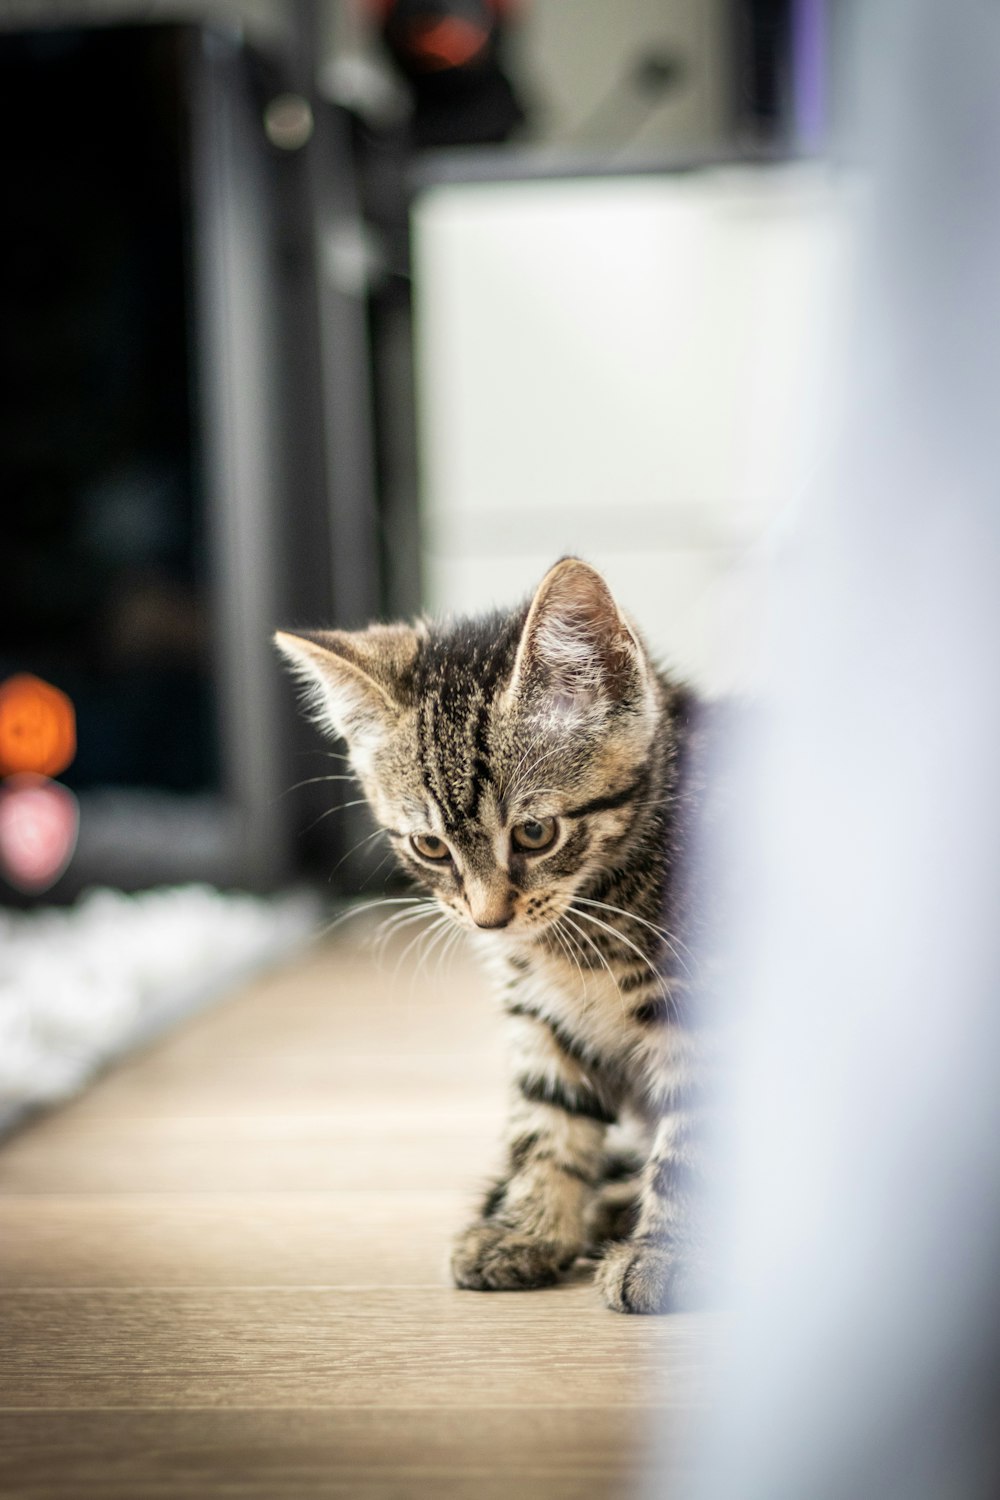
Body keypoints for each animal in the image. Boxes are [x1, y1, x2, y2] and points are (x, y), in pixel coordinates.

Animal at [275, 558, 710, 1308]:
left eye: (535, 833)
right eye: (429, 846)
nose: (488, 917)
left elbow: (693, 1137)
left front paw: (669, 1255)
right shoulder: (541, 1013)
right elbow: (543, 1119)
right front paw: (527, 1231)